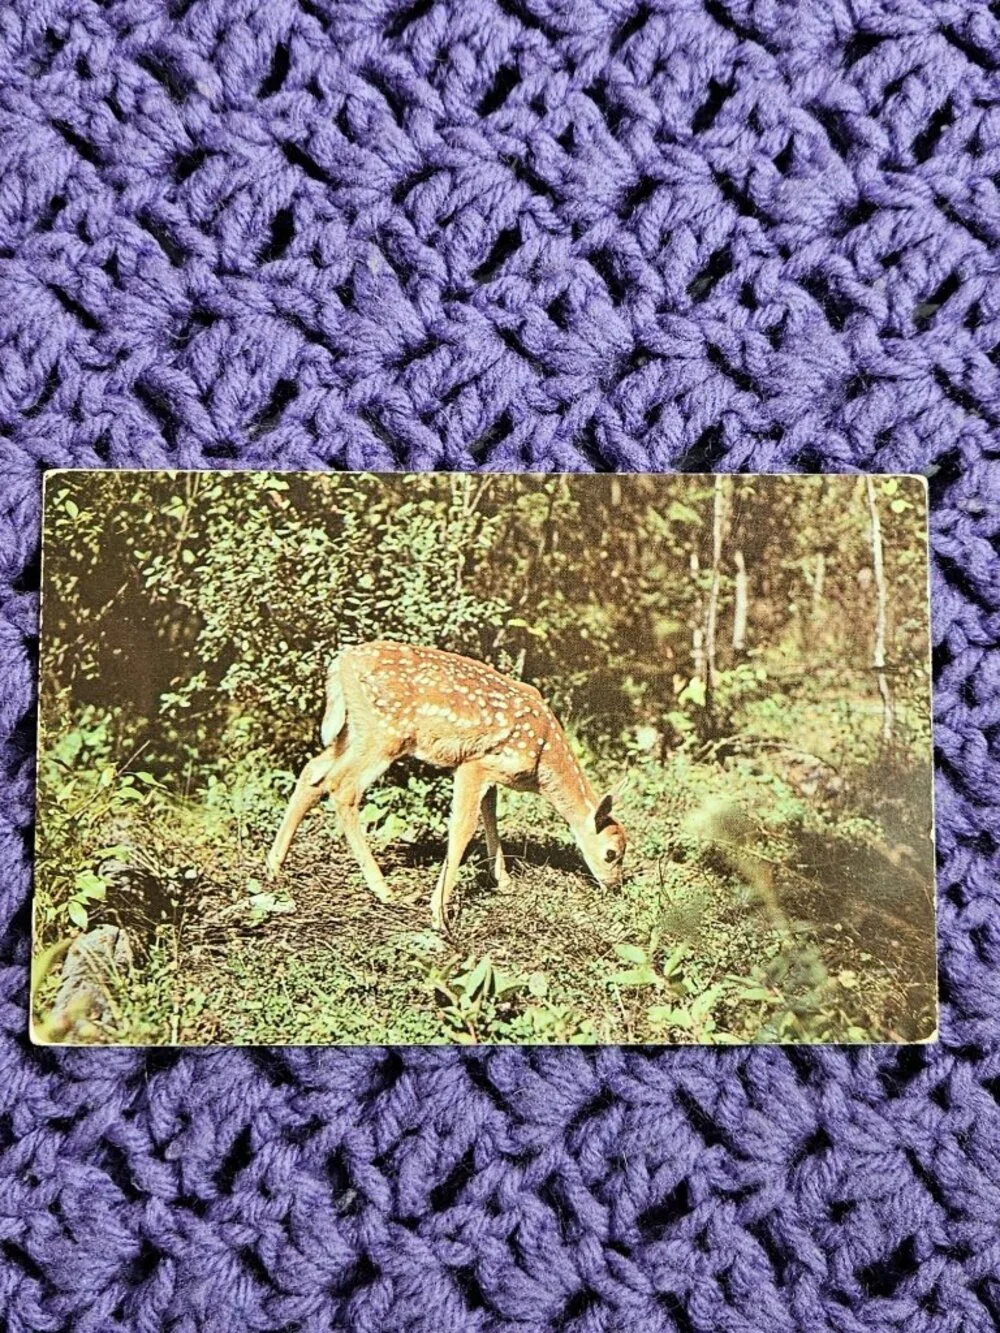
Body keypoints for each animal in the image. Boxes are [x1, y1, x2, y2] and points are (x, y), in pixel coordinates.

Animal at [265, 640, 627, 930]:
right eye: (612, 853)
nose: (615, 886)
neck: (543, 759)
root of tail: (341, 662)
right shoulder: (473, 764)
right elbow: (463, 829)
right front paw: (439, 914)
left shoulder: (491, 775)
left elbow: (491, 818)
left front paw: (504, 882)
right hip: (385, 733)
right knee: (343, 787)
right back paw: (384, 889)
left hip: (355, 730)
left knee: (313, 772)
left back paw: (274, 867)